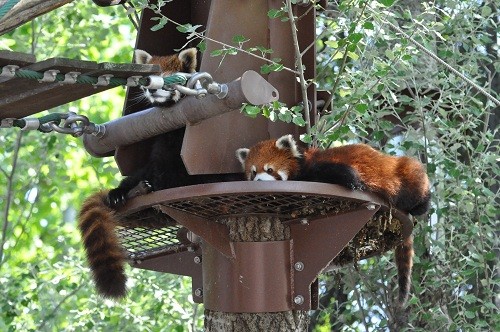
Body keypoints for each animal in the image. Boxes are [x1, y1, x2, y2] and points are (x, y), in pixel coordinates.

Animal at [236, 134, 432, 304]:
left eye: (269, 169)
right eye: (253, 173)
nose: (259, 181)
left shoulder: (321, 166)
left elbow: (343, 172)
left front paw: (355, 183)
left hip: (406, 175)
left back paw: (419, 205)